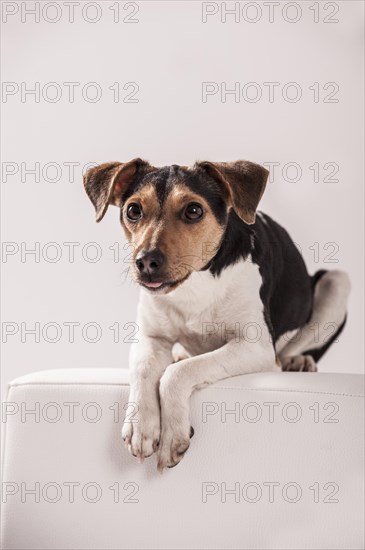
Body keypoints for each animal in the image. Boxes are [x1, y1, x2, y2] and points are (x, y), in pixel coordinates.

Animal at [83, 157, 350, 472]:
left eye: (193, 210)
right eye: (133, 210)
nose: (145, 262)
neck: (194, 284)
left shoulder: (254, 346)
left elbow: (177, 373)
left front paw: (172, 434)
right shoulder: (151, 337)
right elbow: (144, 368)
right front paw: (140, 426)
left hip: (336, 281)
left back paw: (297, 361)